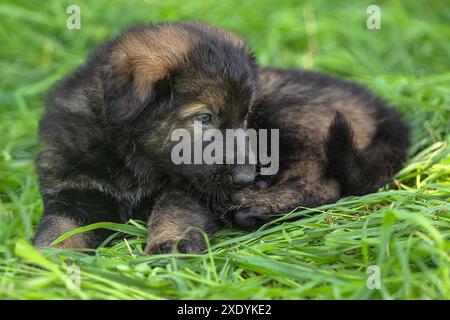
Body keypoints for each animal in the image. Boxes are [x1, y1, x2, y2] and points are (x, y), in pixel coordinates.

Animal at [33, 21, 410, 254]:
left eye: (244, 117)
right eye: (204, 119)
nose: (245, 177)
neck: (134, 156)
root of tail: (381, 107)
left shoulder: (191, 186)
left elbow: (173, 210)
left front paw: (170, 244)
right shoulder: (74, 191)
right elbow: (59, 228)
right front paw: (43, 265)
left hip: (292, 116)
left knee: (321, 182)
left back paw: (256, 206)